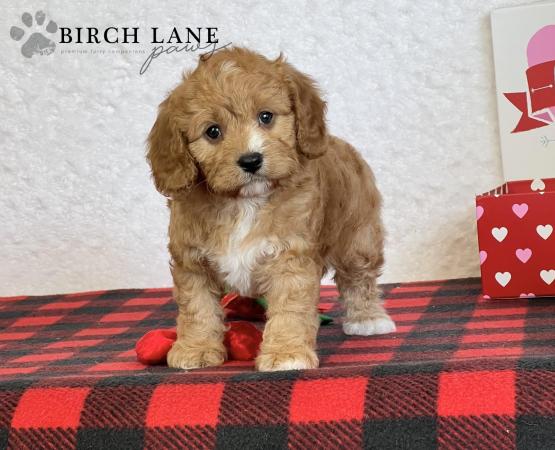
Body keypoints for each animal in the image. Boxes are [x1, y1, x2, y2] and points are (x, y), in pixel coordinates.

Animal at [146, 47, 396, 371]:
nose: (251, 160)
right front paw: (196, 348)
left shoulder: (291, 257)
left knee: (358, 277)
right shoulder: (192, 262)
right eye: (213, 132)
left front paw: (286, 353)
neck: (244, 202)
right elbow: (198, 309)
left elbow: (290, 311)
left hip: (358, 235)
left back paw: (368, 318)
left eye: (266, 117)